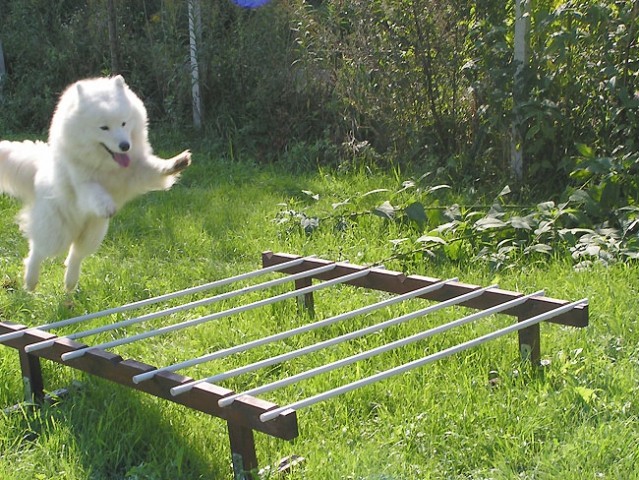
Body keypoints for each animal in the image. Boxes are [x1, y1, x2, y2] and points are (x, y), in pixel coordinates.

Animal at [0, 77, 191, 290]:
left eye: (124, 123)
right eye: (104, 128)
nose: (125, 145)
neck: (107, 165)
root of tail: (39, 169)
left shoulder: (138, 171)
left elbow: (157, 168)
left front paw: (177, 163)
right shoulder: (83, 184)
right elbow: (96, 192)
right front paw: (107, 206)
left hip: (93, 233)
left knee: (75, 255)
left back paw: (70, 283)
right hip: (57, 231)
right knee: (38, 250)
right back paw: (31, 281)